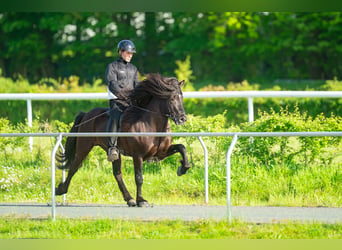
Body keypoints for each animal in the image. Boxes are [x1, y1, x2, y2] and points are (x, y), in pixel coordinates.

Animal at [55, 73, 191, 206]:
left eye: (181, 97)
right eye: (172, 98)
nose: (182, 118)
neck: (151, 125)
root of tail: (86, 114)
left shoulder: (161, 152)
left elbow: (182, 148)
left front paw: (182, 168)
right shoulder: (138, 155)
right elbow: (139, 178)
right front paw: (141, 200)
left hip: (115, 153)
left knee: (117, 173)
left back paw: (129, 199)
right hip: (84, 146)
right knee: (74, 166)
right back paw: (60, 189)